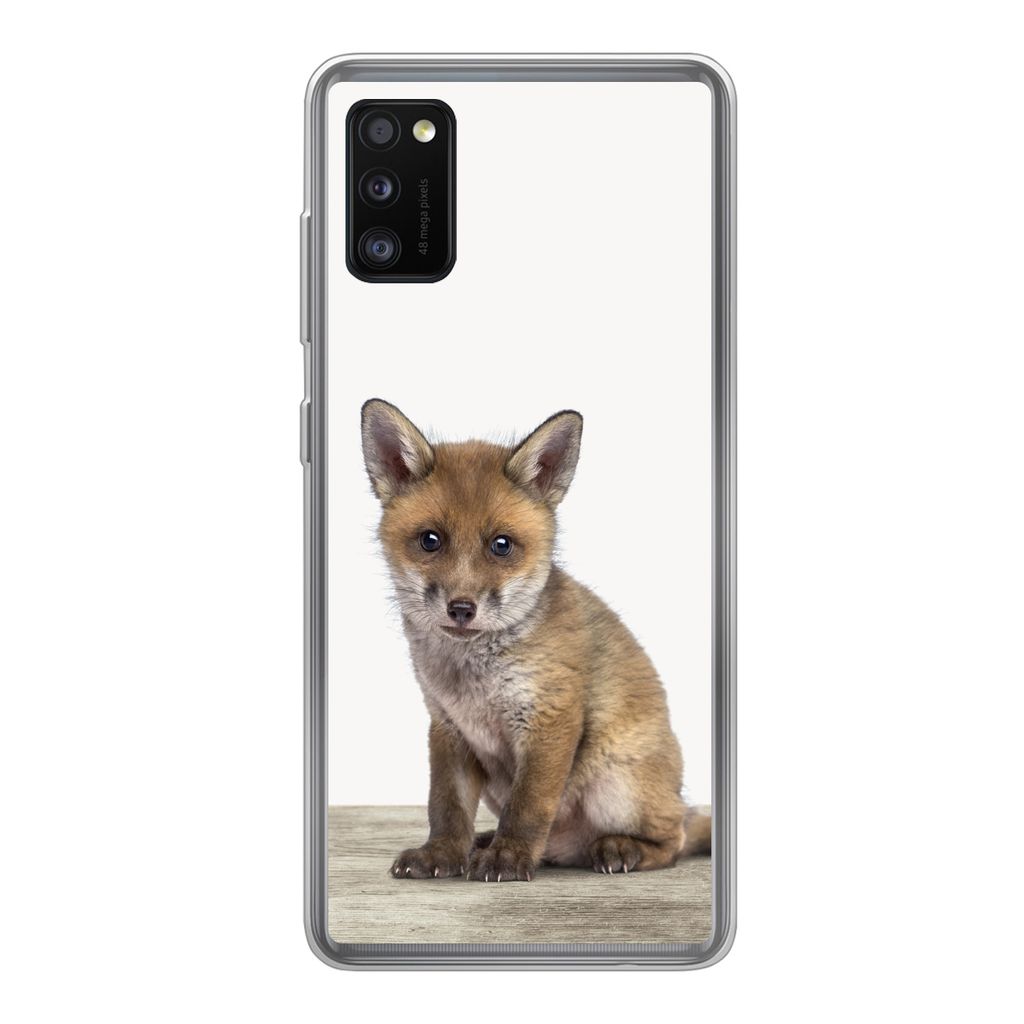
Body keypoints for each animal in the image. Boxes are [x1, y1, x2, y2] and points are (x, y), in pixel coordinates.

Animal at [361, 398, 711, 882]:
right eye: (430, 540)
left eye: (501, 545)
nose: (461, 608)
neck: (474, 681)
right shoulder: (448, 728)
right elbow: (446, 806)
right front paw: (442, 854)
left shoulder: (550, 717)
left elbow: (528, 805)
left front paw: (508, 857)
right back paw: (489, 842)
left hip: (617, 785)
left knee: (674, 839)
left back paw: (621, 848)